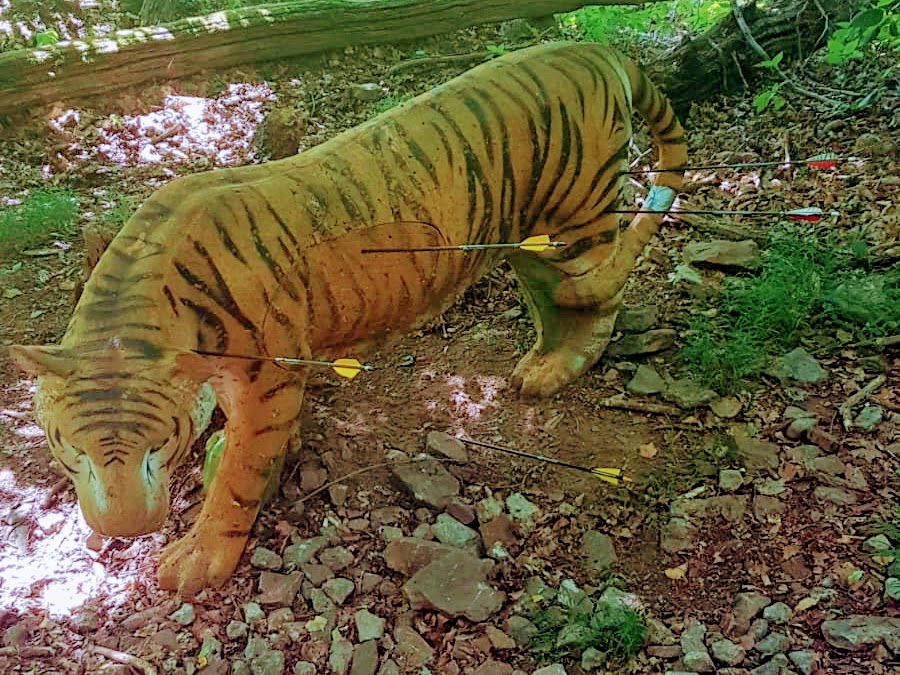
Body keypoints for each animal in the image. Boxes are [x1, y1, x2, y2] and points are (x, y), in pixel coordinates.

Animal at [9, 41, 686, 596]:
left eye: (157, 449)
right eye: (70, 448)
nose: (124, 530)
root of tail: (595, 47)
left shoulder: (266, 378)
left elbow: (238, 476)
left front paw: (198, 556)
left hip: (580, 219)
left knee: (598, 297)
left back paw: (563, 365)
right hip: (530, 238)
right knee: (553, 297)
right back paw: (537, 364)